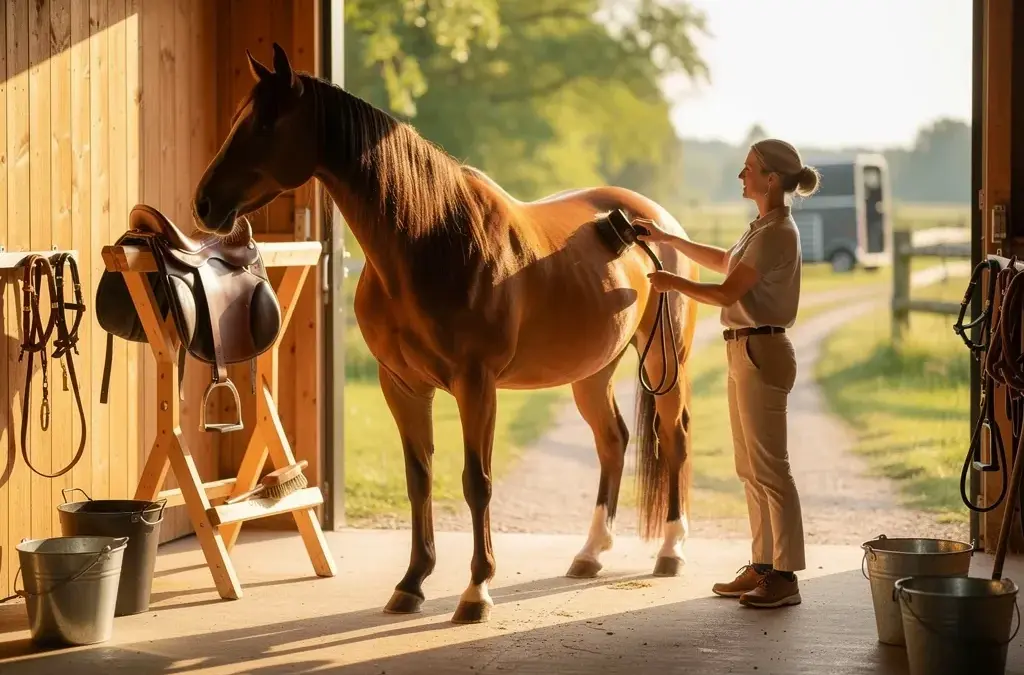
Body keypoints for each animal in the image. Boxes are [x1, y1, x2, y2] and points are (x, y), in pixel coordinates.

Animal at [192, 43, 700, 625]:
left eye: (266, 122)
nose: (204, 203)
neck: (430, 241)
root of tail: (654, 222)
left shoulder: (476, 386)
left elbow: (475, 483)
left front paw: (476, 590)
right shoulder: (402, 386)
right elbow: (419, 479)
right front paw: (412, 582)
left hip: (664, 362)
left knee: (675, 438)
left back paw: (670, 550)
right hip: (592, 372)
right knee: (613, 440)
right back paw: (590, 554)